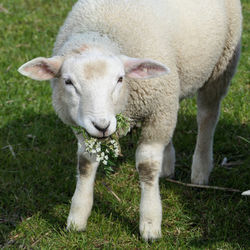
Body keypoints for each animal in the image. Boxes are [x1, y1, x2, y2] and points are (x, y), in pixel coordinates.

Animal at [18, 0, 242, 242]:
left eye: (120, 79)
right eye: (68, 82)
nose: (102, 126)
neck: (102, 31)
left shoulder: (157, 108)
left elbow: (147, 166)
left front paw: (150, 224)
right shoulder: (83, 127)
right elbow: (85, 164)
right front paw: (77, 217)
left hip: (222, 63)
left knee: (207, 116)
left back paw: (200, 171)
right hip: (172, 90)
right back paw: (167, 165)